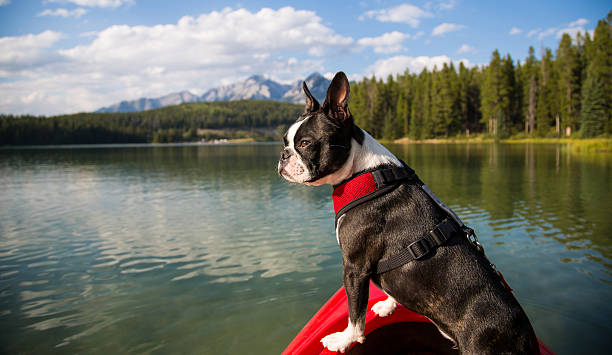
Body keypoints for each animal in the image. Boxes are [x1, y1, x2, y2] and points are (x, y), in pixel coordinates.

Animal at [278, 71, 540, 354]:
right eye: (285, 142)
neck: (364, 172)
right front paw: (389, 304)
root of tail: (525, 338)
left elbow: (355, 314)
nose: (283, 155)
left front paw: (344, 339)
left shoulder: (354, 268)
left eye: (305, 143)